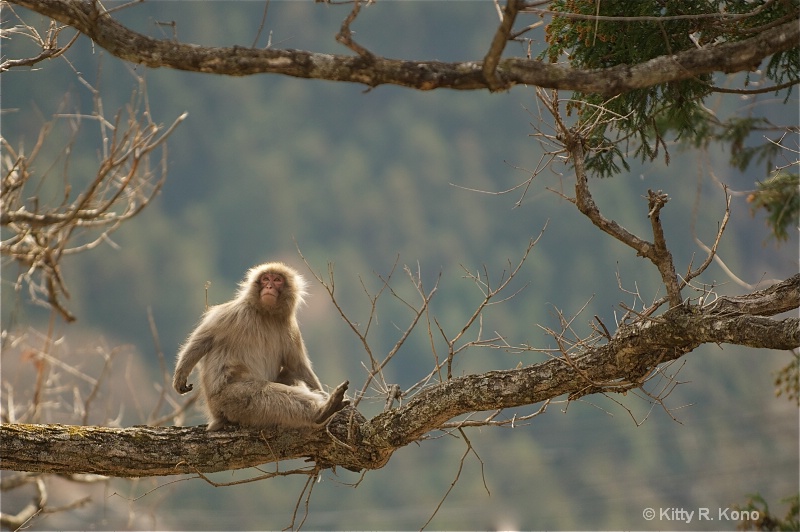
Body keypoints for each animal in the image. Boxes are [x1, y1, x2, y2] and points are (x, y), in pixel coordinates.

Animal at [173, 262, 348, 432]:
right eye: (265, 279)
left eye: (277, 280)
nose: (269, 286)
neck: (266, 314)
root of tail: (215, 415)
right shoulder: (235, 312)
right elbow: (202, 341)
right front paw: (180, 376)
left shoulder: (290, 326)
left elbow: (297, 365)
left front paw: (320, 391)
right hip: (227, 400)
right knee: (261, 392)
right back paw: (321, 412)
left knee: (291, 375)